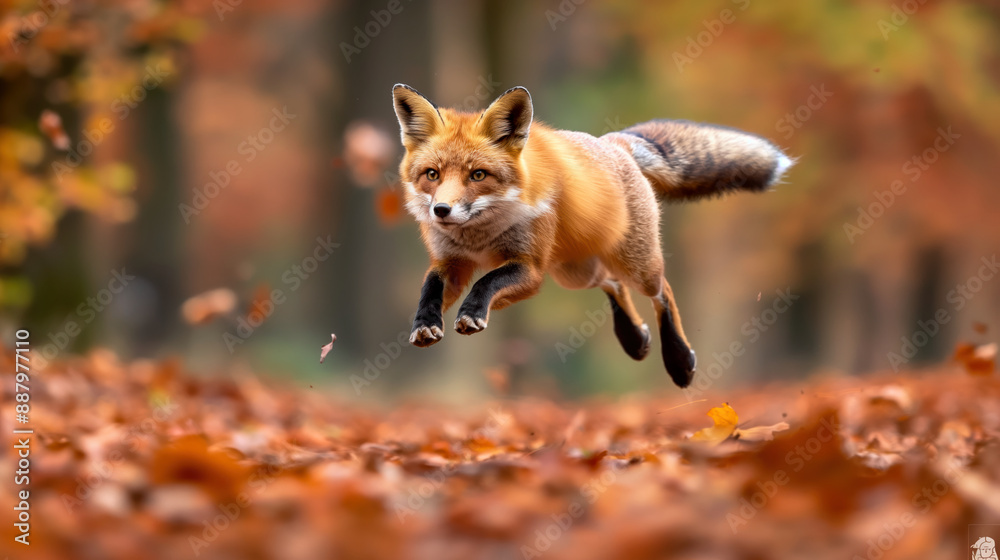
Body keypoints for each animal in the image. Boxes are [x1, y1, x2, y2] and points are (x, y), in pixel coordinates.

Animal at [391, 83, 793, 388]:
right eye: (432, 175)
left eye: (477, 175)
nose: (441, 211)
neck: (479, 236)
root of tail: (613, 143)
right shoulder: (452, 263)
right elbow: (430, 287)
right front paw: (424, 324)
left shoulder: (529, 268)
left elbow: (487, 281)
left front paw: (472, 313)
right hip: (574, 272)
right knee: (612, 283)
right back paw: (634, 338)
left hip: (636, 266)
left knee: (662, 291)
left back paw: (679, 360)